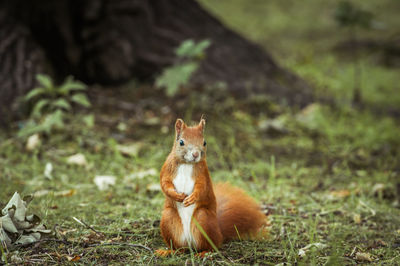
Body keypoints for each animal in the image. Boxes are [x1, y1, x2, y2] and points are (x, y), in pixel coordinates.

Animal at [155, 118, 266, 256]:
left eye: (204, 142)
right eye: (181, 142)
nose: (196, 154)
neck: (187, 164)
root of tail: (219, 234)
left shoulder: (203, 175)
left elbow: (201, 188)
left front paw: (192, 198)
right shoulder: (166, 170)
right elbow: (165, 184)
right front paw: (177, 195)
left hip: (204, 219)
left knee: (211, 246)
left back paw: (203, 253)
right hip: (169, 219)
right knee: (180, 248)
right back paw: (169, 251)